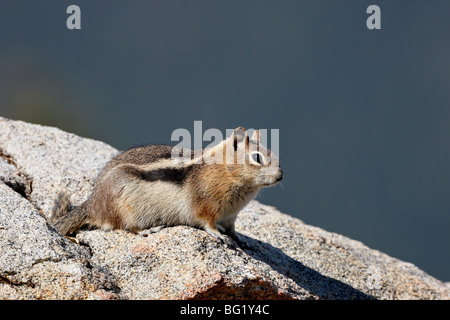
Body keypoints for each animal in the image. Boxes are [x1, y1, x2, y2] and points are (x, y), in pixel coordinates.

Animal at [52, 127, 284, 248]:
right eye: (257, 158)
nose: (281, 176)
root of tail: (92, 204)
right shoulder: (205, 205)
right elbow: (207, 223)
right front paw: (218, 235)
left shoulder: (231, 215)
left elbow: (232, 228)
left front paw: (239, 238)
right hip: (124, 207)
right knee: (126, 226)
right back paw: (148, 230)